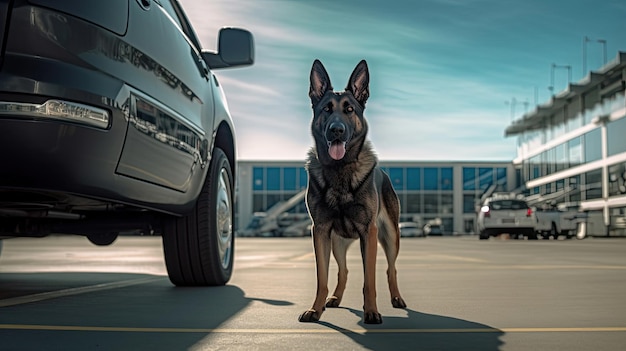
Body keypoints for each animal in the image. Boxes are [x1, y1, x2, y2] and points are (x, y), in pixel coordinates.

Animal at [298, 59, 408, 324]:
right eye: (326, 109)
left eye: (349, 110)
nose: (336, 130)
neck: (340, 170)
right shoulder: (320, 231)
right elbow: (323, 278)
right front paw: (315, 309)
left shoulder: (369, 232)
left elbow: (370, 280)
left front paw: (372, 312)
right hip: (337, 242)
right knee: (344, 270)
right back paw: (334, 299)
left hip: (390, 236)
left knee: (391, 268)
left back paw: (397, 298)